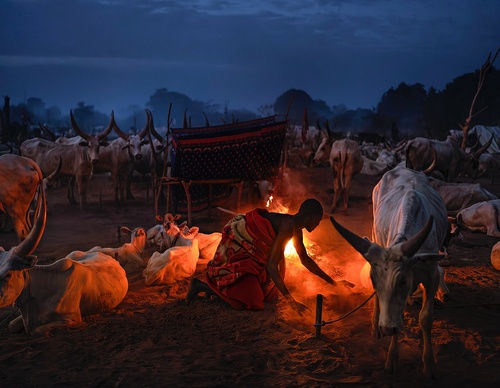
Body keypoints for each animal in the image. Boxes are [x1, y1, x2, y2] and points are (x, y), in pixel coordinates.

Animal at [330, 165, 448, 378]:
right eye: (374, 281)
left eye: (402, 281)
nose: (385, 328)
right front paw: (392, 358)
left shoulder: (432, 276)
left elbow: (425, 318)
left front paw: (429, 364)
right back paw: (375, 325)